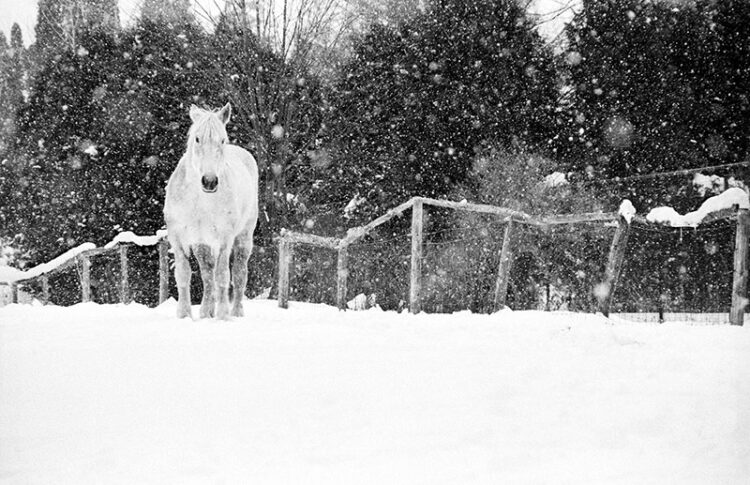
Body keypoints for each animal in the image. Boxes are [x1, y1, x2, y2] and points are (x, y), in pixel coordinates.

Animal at [164, 103, 258, 318]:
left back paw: (235, 312)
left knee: (239, 274)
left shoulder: (225, 238)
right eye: (197, 138)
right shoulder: (178, 238)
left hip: (243, 237)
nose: (209, 181)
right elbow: (184, 276)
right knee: (207, 276)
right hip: (202, 244)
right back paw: (206, 312)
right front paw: (184, 315)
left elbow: (223, 276)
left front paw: (223, 315)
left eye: (222, 140)